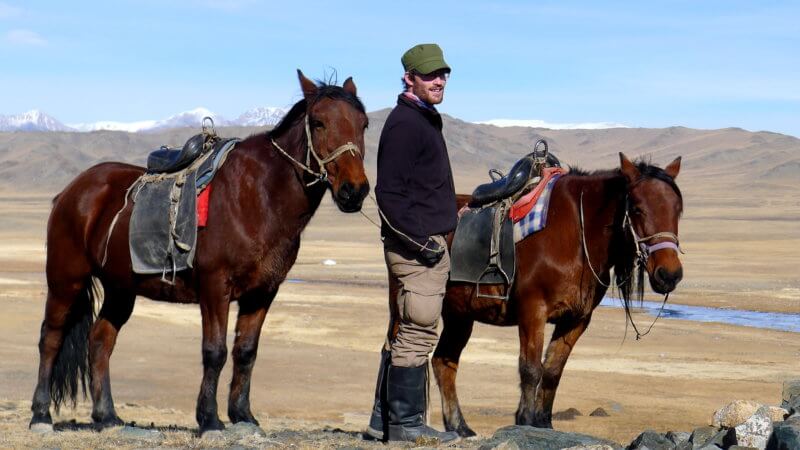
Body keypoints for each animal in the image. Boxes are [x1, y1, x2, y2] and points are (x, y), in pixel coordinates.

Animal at [29, 70, 370, 435]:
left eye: (363, 124)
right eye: (319, 122)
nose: (354, 190)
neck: (259, 197)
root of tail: (70, 191)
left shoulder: (263, 292)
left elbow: (246, 352)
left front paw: (243, 415)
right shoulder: (214, 286)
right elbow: (215, 351)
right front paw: (209, 419)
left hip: (120, 288)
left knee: (100, 341)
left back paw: (107, 416)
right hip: (66, 280)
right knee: (51, 338)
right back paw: (41, 415)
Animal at [428, 153, 684, 436]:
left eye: (677, 210)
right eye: (637, 208)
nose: (669, 275)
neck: (577, 234)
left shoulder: (576, 319)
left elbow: (552, 371)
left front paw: (543, 422)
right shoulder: (532, 312)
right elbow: (530, 369)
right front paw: (526, 420)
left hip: (459, 315)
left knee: (444, 362)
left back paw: (459, 426)